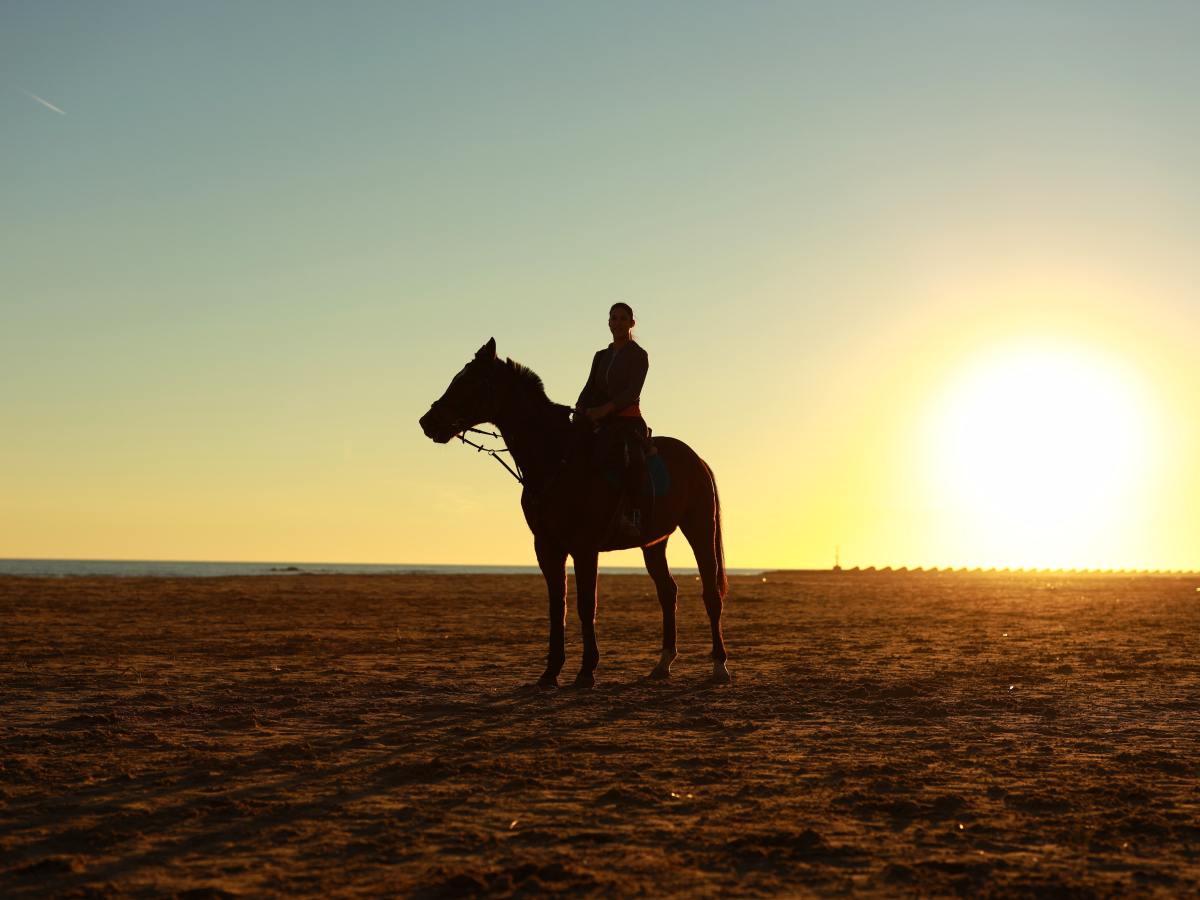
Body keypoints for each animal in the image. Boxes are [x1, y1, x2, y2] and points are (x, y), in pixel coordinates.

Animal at [419, 338, 730, 688]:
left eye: (469, 382)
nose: (427, 422)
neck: (556, 459)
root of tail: (697, 460)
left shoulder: (584, 547)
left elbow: (585, 605)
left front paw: (586, 671)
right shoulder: (547, 547)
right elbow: (558, 606)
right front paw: (550, 672)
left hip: (700, 528)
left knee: (710, 593)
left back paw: (719, 666)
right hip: (654, 542)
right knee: (667, 592)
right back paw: (663, 663)